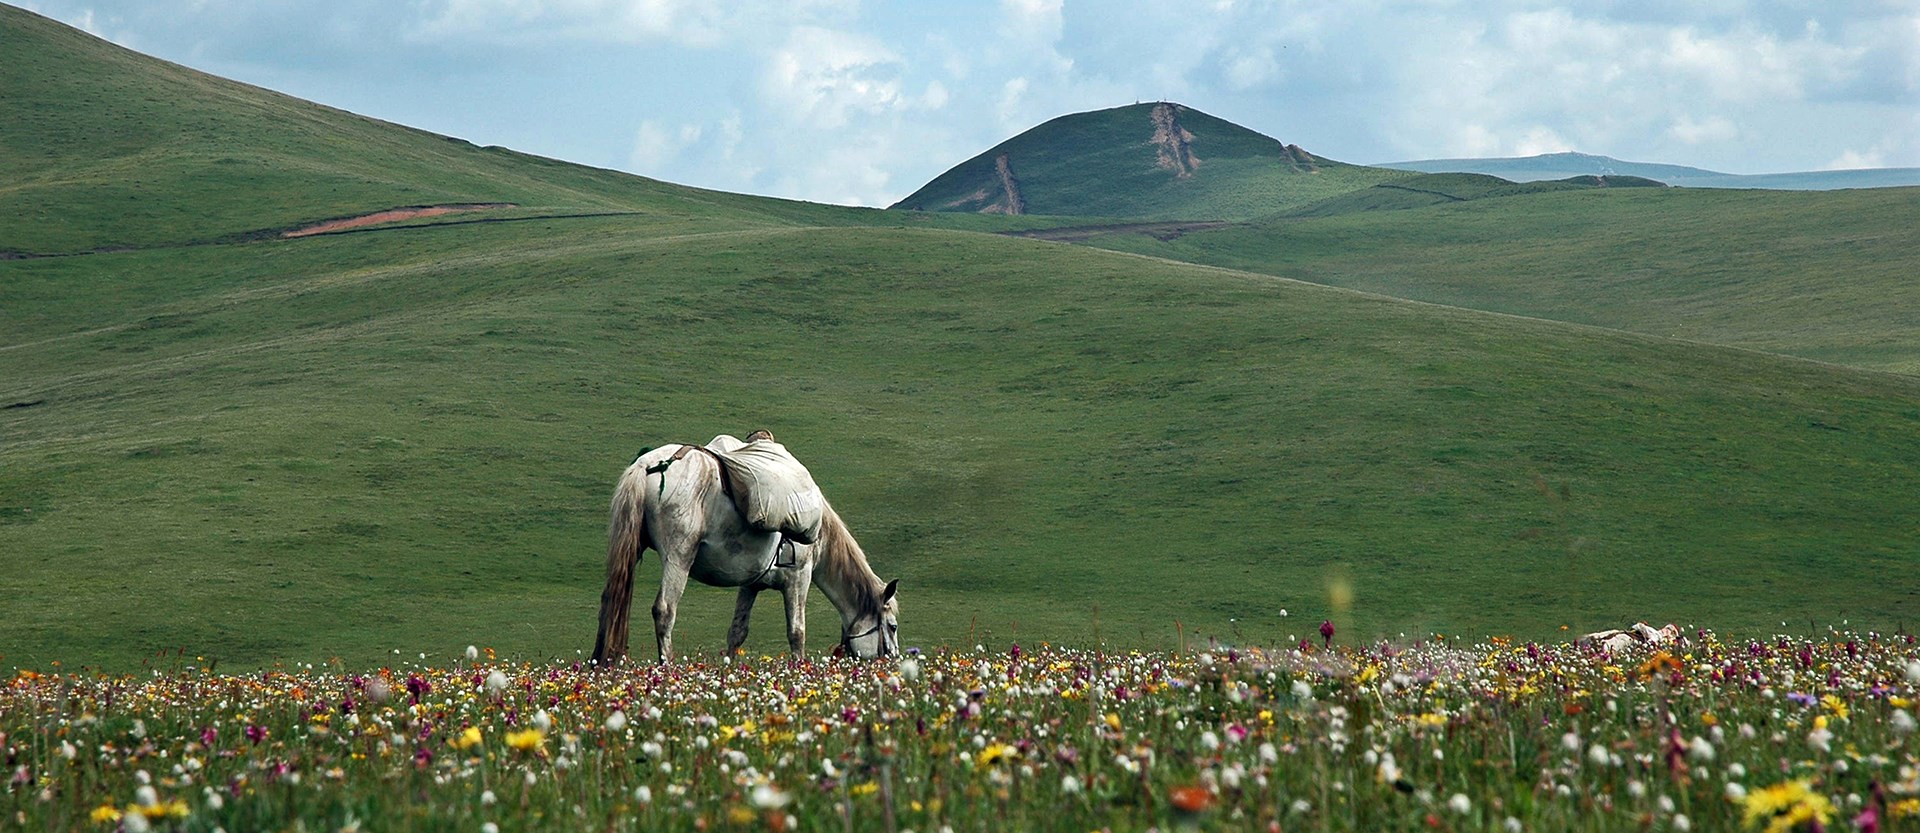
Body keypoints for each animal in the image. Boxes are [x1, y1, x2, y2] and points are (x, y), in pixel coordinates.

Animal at [587, 435, 894, 664]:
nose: (888, 662)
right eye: (892, 626)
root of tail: (648, 465)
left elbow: (737, 632)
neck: (818, 538)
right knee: (664, 610)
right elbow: (797, 632)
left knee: (609, 601)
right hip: (678, 557)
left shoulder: (751, 584)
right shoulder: (799, 578)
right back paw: (667, 669)